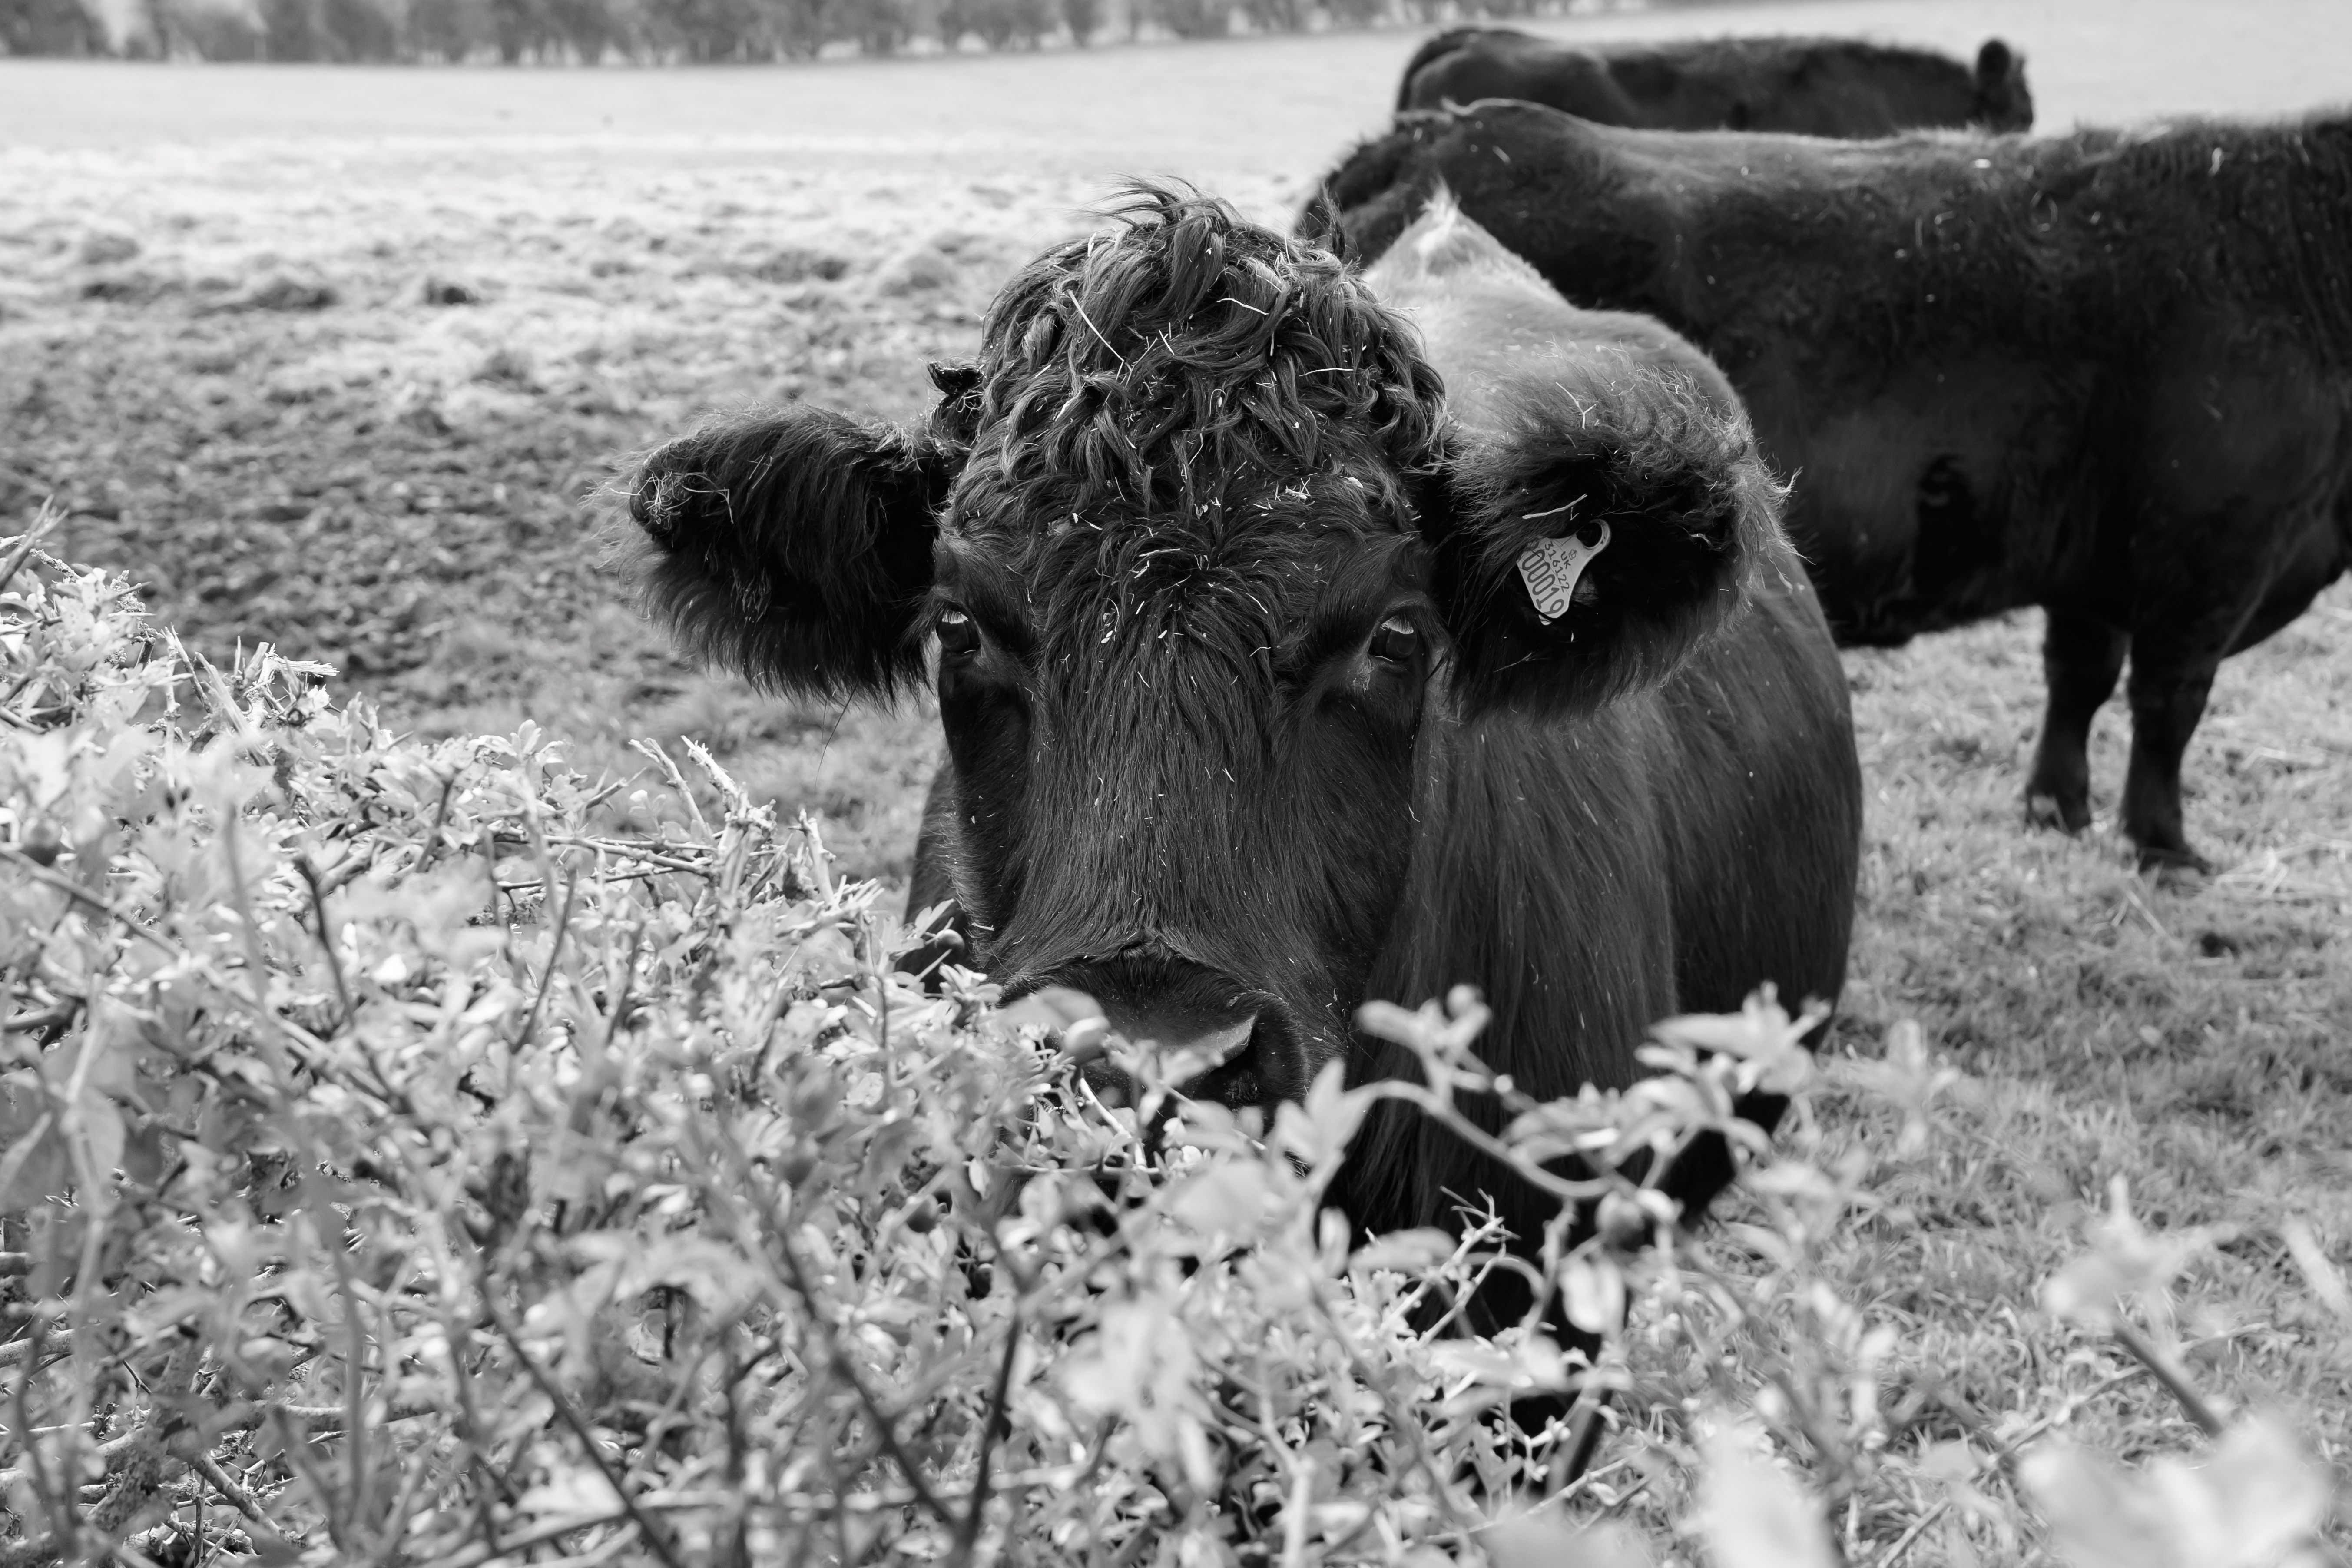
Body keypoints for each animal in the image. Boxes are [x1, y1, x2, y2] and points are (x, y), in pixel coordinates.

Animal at [1308, 103, 2352, 872]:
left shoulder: (2098, 562)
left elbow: (2080, 678)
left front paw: (2056, 806)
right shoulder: (2210, 551)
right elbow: (2169, 705)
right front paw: (2163, 843)